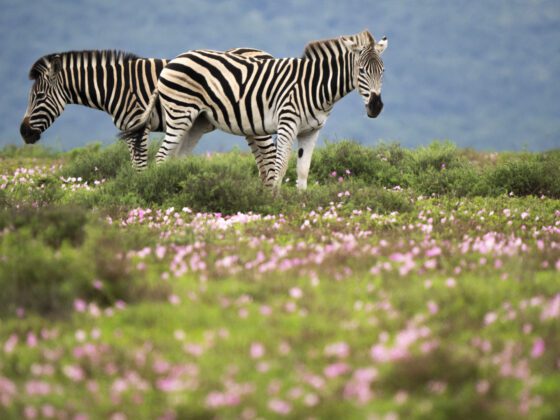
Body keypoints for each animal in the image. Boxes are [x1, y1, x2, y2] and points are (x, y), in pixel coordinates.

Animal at [18, 49, 276, 180]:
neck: (115, 86)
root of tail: (266, 54)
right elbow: (134, 164)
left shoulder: (137, 123)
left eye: (39, 96)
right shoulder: (129, 127)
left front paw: (142, 191)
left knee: (269, 154)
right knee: (263, 158)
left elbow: (140, 165)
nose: (23, 133)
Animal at [120, 31, 388, 190]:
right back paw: (162, 191)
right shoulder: (287, 123)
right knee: (162, 157)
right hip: (179, 114)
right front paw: (276, 205)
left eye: (382, 71)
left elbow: (303, 172)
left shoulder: (311, 131)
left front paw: (301, 206)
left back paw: (179, 188)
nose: (376, 107)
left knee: (176, 158)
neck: (314, 84)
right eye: (362, 71)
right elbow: (279, 168)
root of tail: (174, 60)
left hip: (196, 122)